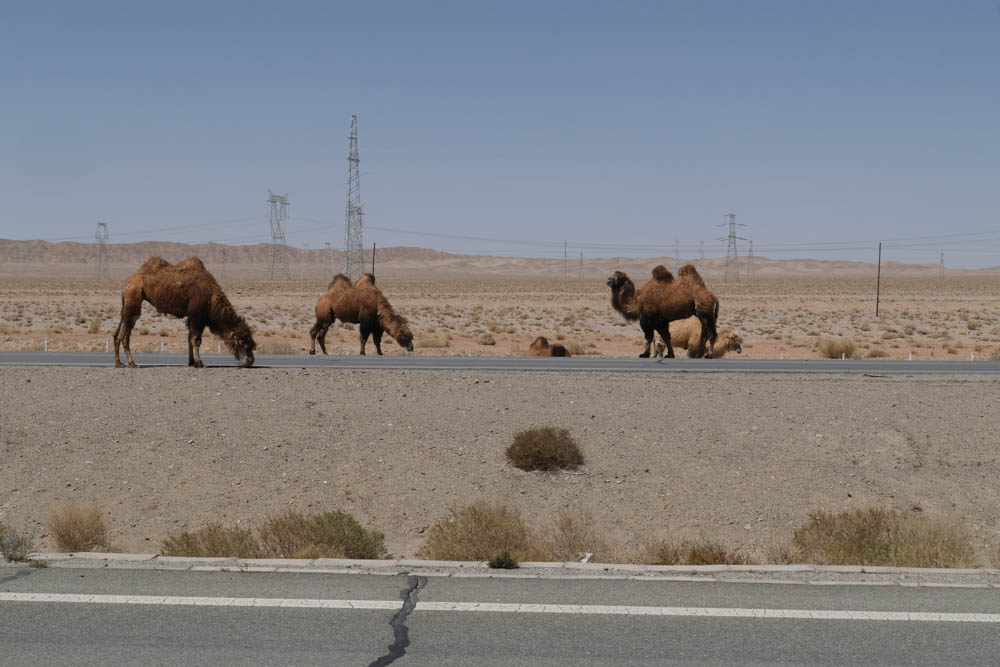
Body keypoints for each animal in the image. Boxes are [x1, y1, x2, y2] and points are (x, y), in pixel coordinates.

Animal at [113, 256, 256, 368]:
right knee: (124, 334)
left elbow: (189, 338)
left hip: (126, 304)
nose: (250, 361)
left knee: (118, 333)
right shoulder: (198, 316)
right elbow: (196, 340)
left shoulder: (191, 317)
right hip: (133, 298)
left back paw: (121, 363)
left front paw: (191, 362)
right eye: (244, 343)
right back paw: (129, 364)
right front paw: (200, 363)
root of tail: (127, 282)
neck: (212, 298)